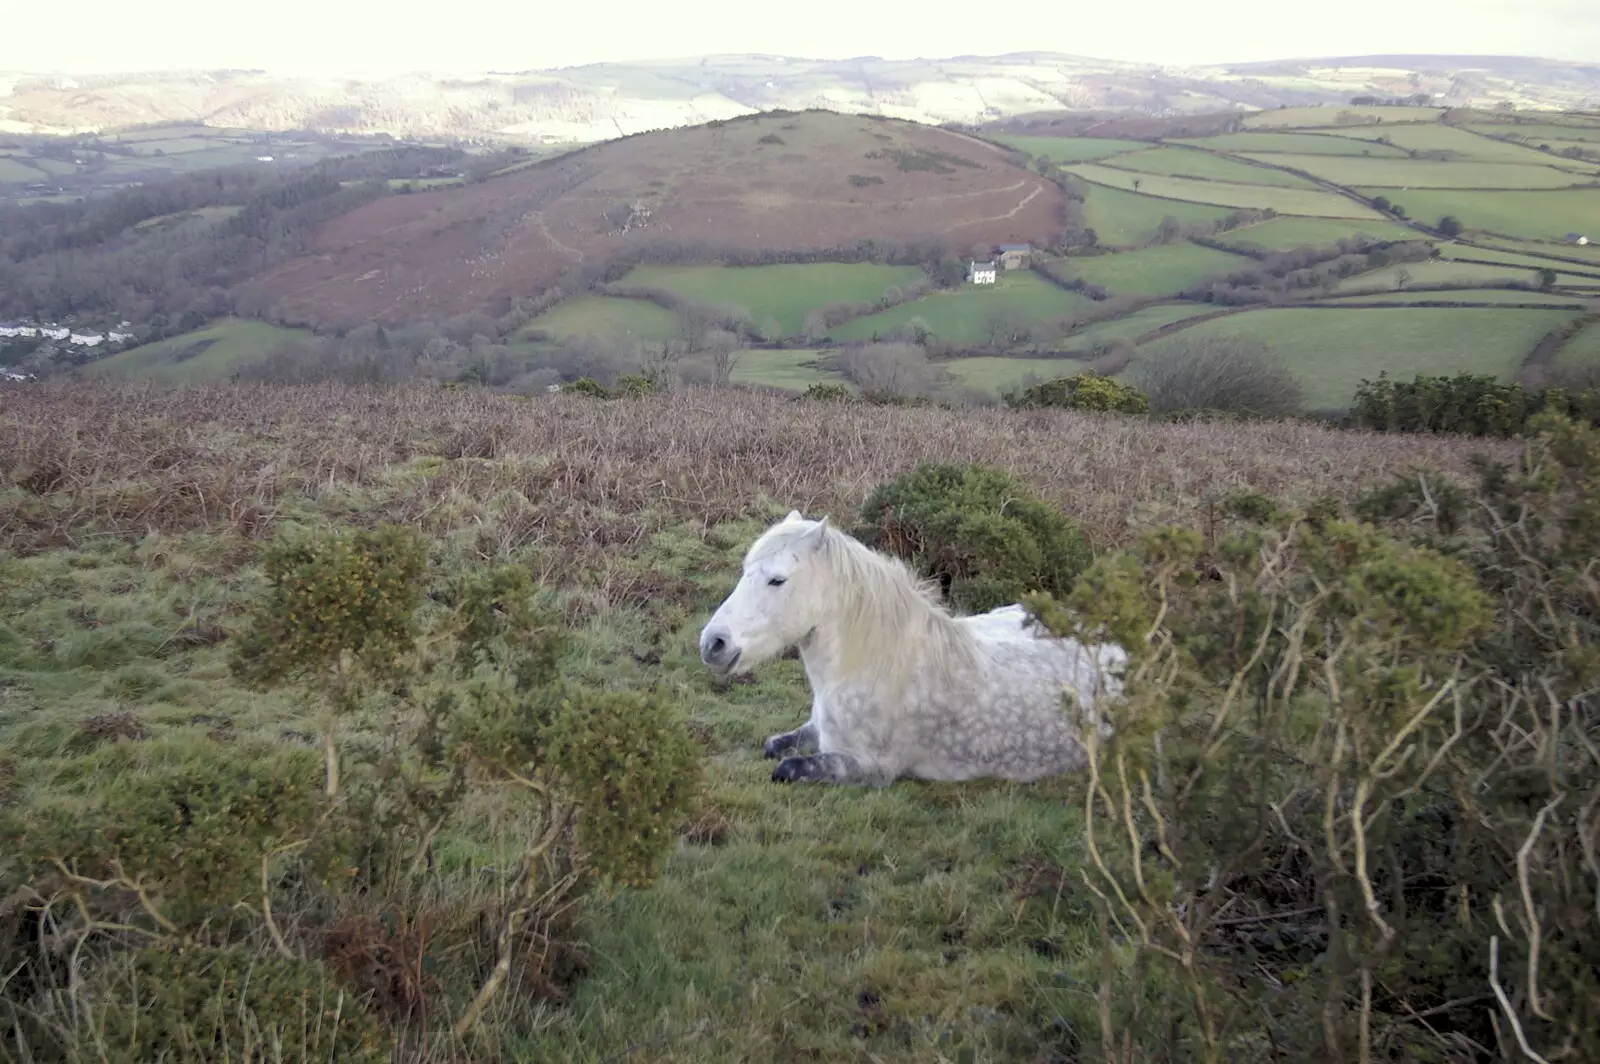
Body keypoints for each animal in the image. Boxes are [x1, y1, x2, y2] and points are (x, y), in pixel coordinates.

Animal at [697, 512, 1126, 784]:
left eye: (777, 580)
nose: (713, 643)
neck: (877, 662)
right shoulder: (816, 730)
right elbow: (773, 746)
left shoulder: (871, 768)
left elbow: (786, 769)